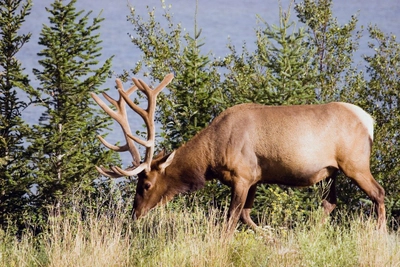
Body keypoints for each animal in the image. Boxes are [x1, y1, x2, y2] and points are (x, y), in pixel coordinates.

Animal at [90, 74, 384, 232]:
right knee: (330, 203)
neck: (210, 158)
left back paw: (380, 233)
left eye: (147, 184)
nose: (135, 213)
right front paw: (271, 234)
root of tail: (369, 120)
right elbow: (246, 215)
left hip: (355, 163)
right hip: (332, 172)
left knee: (378, 193)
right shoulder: (255, 177)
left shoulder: (242, 175)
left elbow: (231, 219)